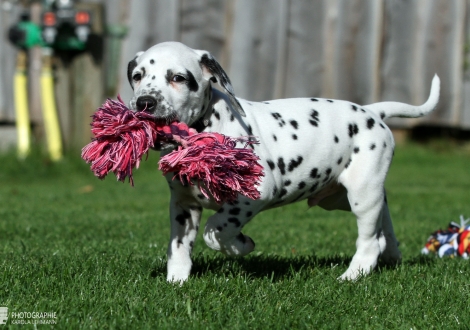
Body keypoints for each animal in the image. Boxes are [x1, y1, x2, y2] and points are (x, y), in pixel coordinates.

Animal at [126, 41, 438, 282]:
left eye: (178, 77)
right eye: (138, 76)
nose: (144, 102)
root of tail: (372, 111)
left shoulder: (253, 194)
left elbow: (216, 230)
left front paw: (241, 245)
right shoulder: (183, 204)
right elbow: (179, 247)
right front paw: (176, 281)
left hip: (362, 193)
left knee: (371, 240)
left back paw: (353, 275)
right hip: (345, 197)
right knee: (384, 224)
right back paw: (392, 256)